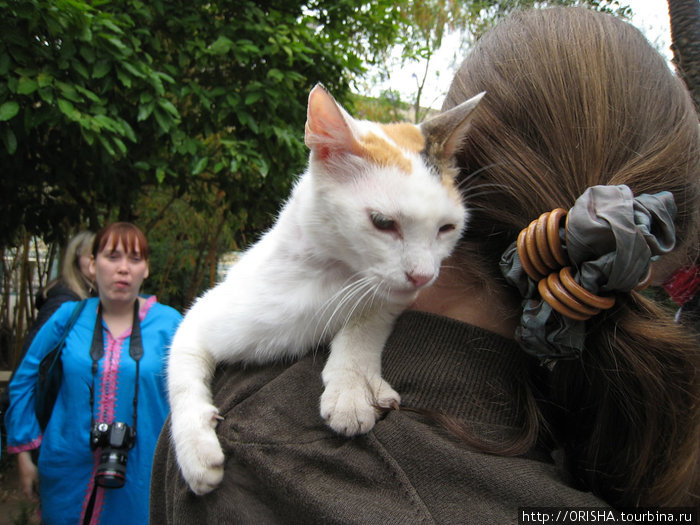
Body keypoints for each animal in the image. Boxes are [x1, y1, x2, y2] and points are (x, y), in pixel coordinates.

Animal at [169, 84, 484, 494]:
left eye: (447, 228)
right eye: (383, 223)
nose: (423, 276)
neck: (325, 276)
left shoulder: (391, 296)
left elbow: (368, 318)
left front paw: (352, 385)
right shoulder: (202, 316)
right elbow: (180, 376)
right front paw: (195, 452)